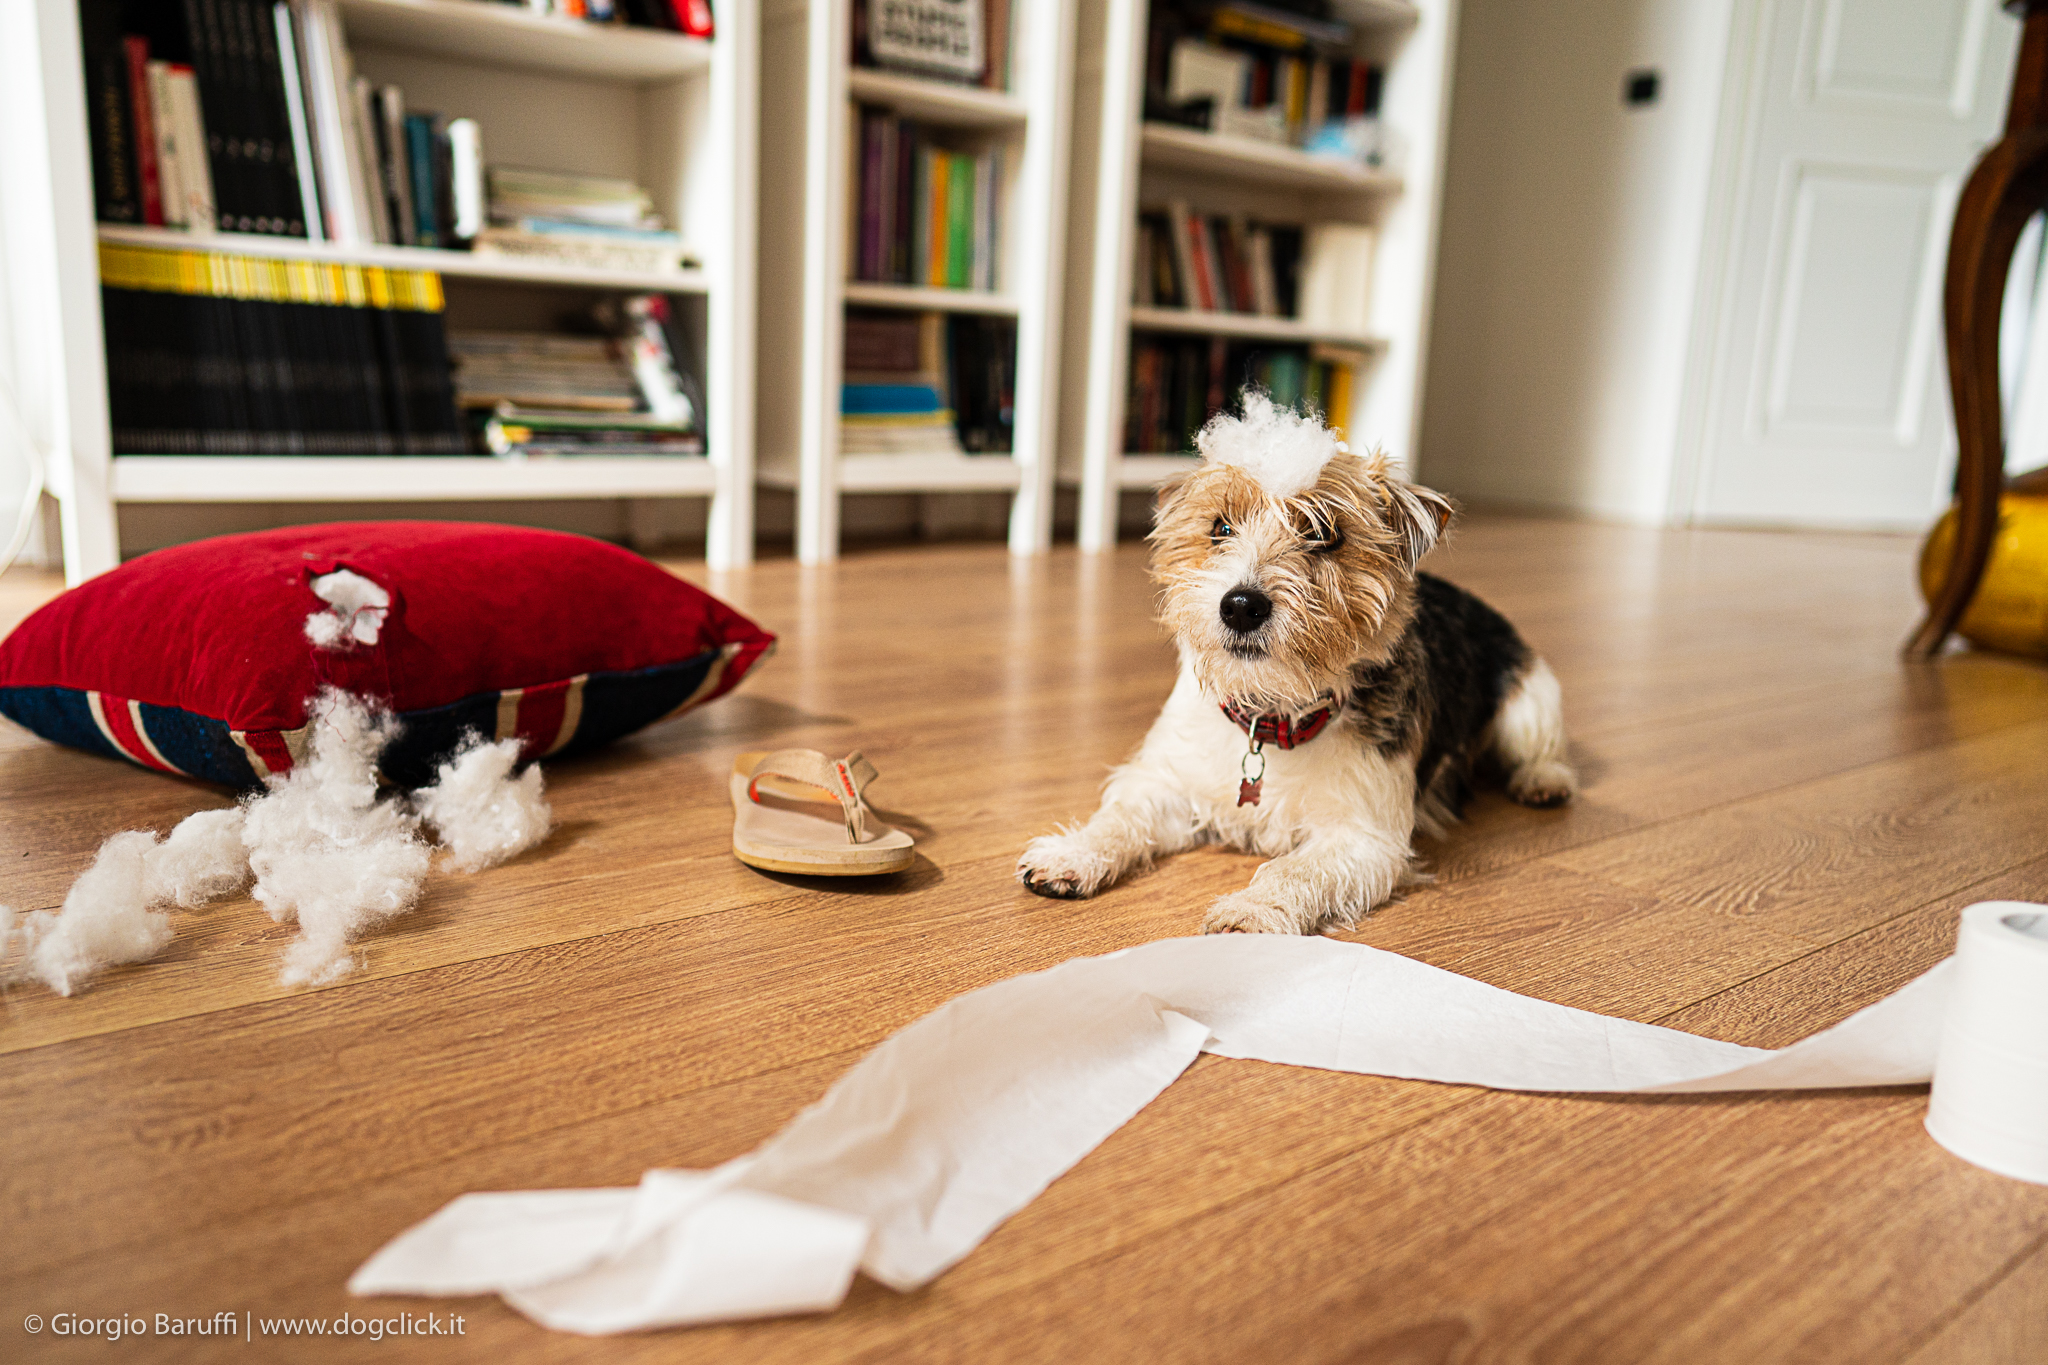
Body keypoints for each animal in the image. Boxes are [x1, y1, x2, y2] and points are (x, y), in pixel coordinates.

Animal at [1015, 388, 1572, 933]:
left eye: (1323, 533)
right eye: (1220, 528)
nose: (1241, 605)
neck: (1271, 715)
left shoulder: (1362, 837)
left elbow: (1293, 870)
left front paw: (1252, 911)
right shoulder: (1169, 783)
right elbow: (1120, 818)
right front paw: (1073, 853)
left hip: (1529, 701)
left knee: (1542, 748)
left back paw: (1544, 782)